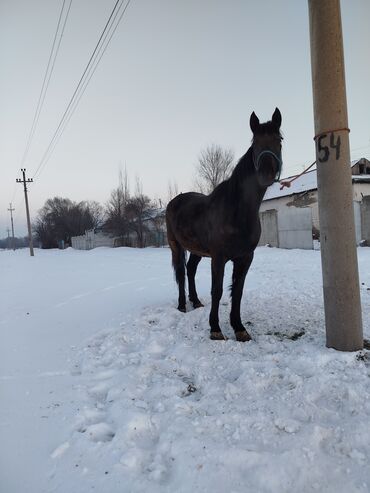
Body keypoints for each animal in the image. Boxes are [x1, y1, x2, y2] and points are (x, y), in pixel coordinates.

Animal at [165, 108, 284, 340]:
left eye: (279, 139)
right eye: (255, 142)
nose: (266, 174)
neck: (237, 212)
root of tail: (174, 201)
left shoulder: (245, 257)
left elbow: (237, 291)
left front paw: (239, 328)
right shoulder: (219, 258)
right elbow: (217, 290)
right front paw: (215, 329)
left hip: (197, 250)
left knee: (190, 270)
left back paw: (196, 302)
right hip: (176, 245)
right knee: (181, 273)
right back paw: (182, 305)